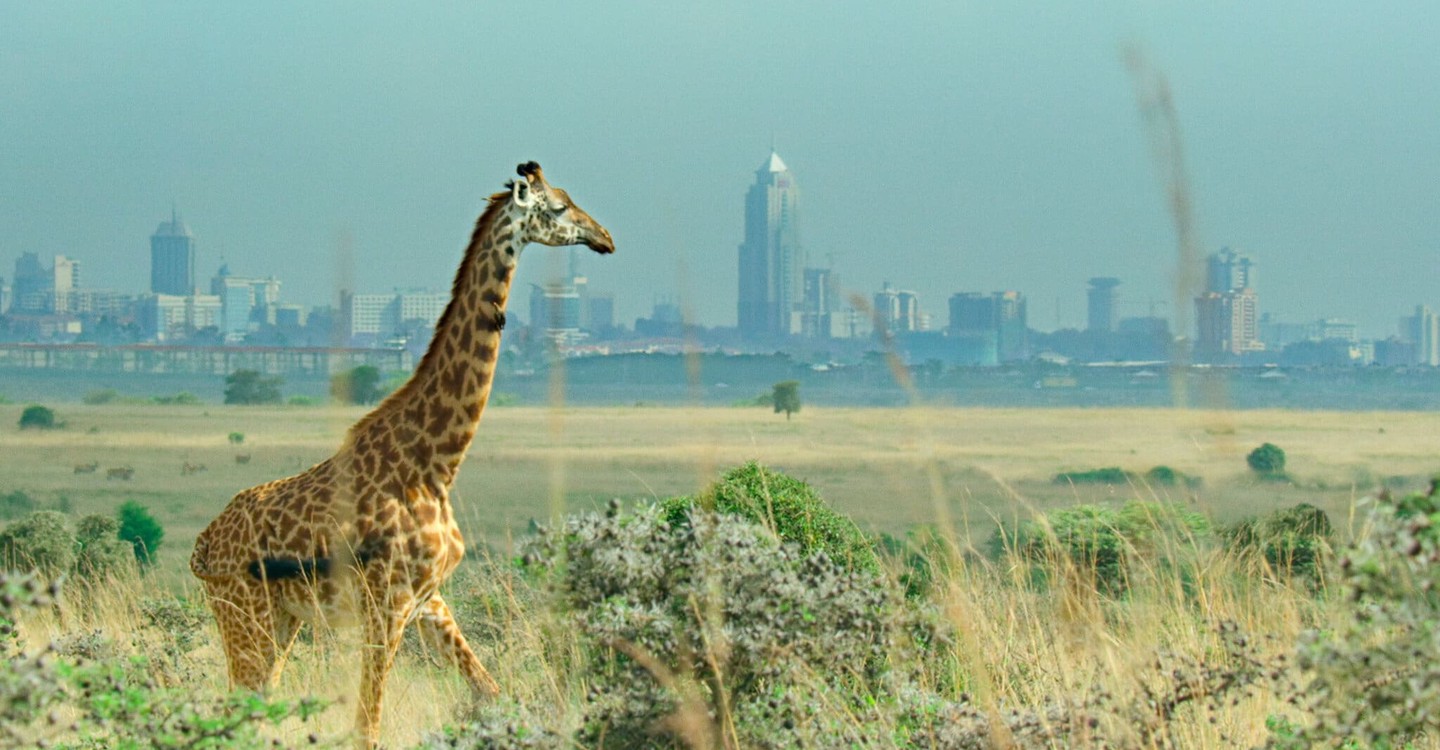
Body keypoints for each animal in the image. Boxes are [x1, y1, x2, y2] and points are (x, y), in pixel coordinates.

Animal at [190, 161, 613, 742]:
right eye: (559, 207)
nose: (605, 238)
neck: (435, 464)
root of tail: (204, 544)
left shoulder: (428, 598)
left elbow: (491, 692)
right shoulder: (385, 603)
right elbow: (366, 726)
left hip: (279, 619)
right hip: (243, 612)